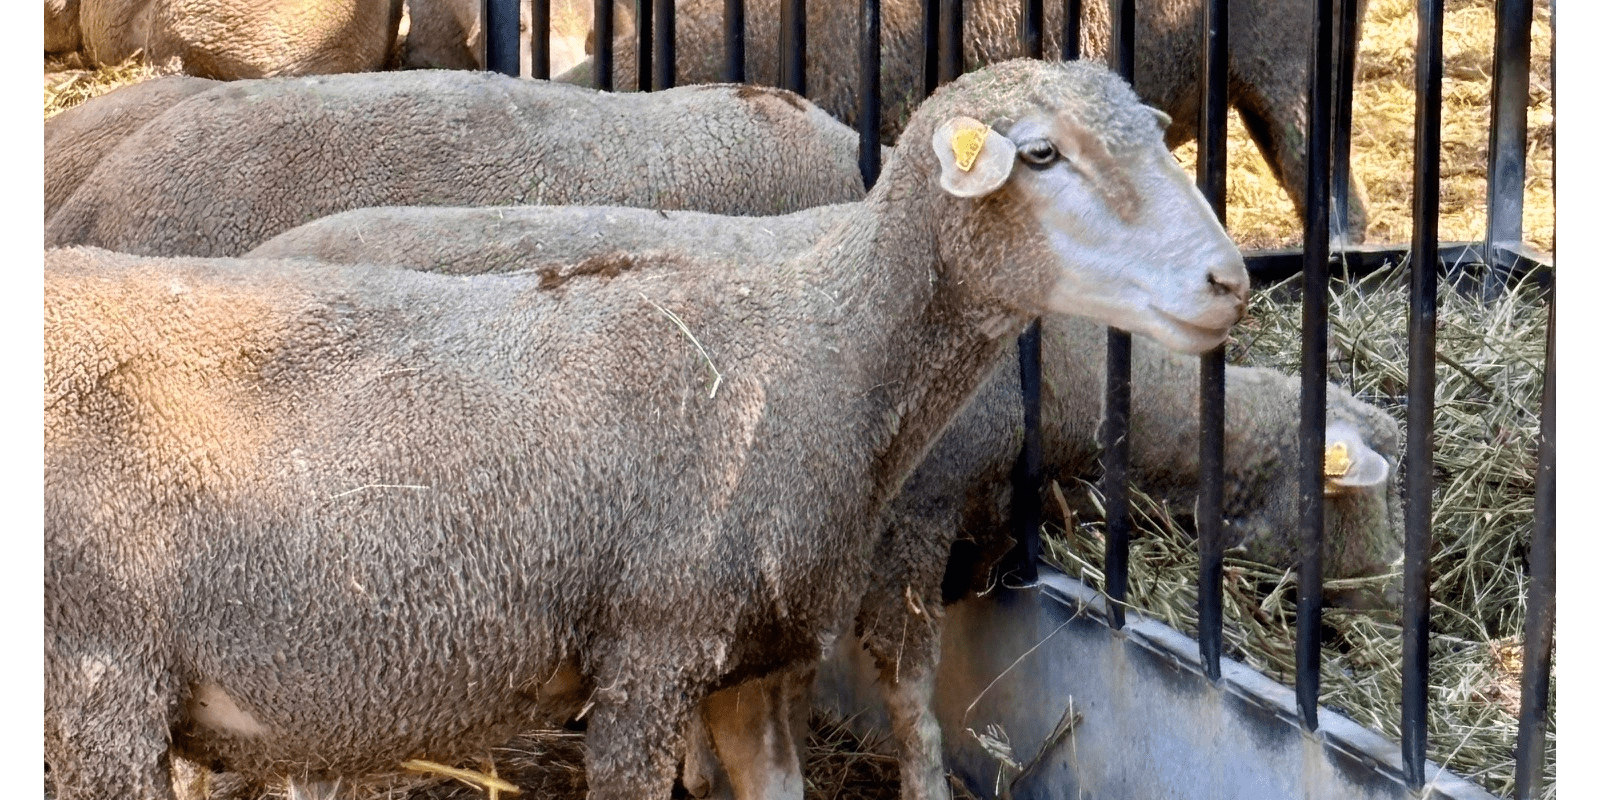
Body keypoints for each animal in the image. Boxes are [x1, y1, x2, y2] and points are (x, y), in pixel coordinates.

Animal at [44, 59, 1249, 800]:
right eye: (1040, 155)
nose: (1230, 280)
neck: (819, 349)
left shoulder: (749, 658)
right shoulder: (652, 651)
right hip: (100, 674)